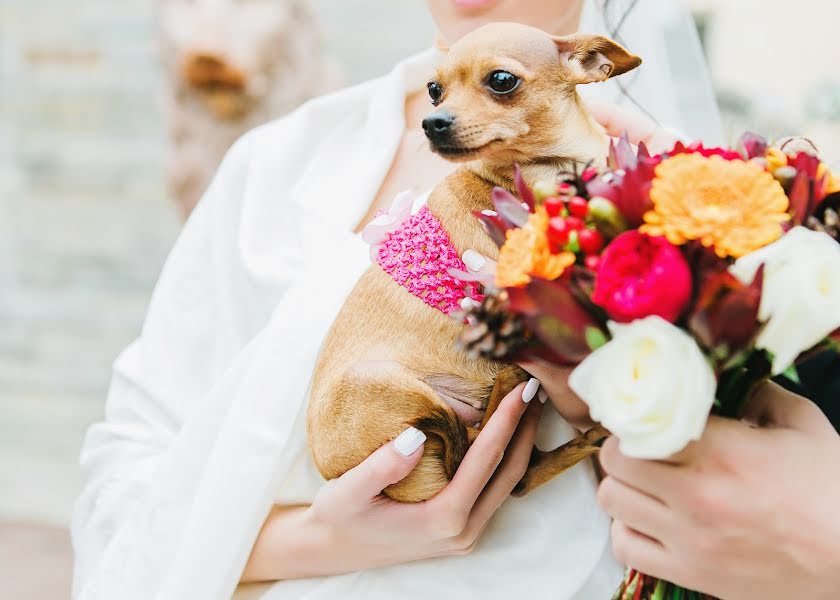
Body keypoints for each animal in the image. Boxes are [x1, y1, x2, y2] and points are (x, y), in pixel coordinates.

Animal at [308, 22, 644, 502]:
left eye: (502, 80)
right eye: (434, 90)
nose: (432, 122)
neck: (554, 167)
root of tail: (332, 472)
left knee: (517, 473)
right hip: (391, 387)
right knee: (476, 457)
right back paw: (508, 385)